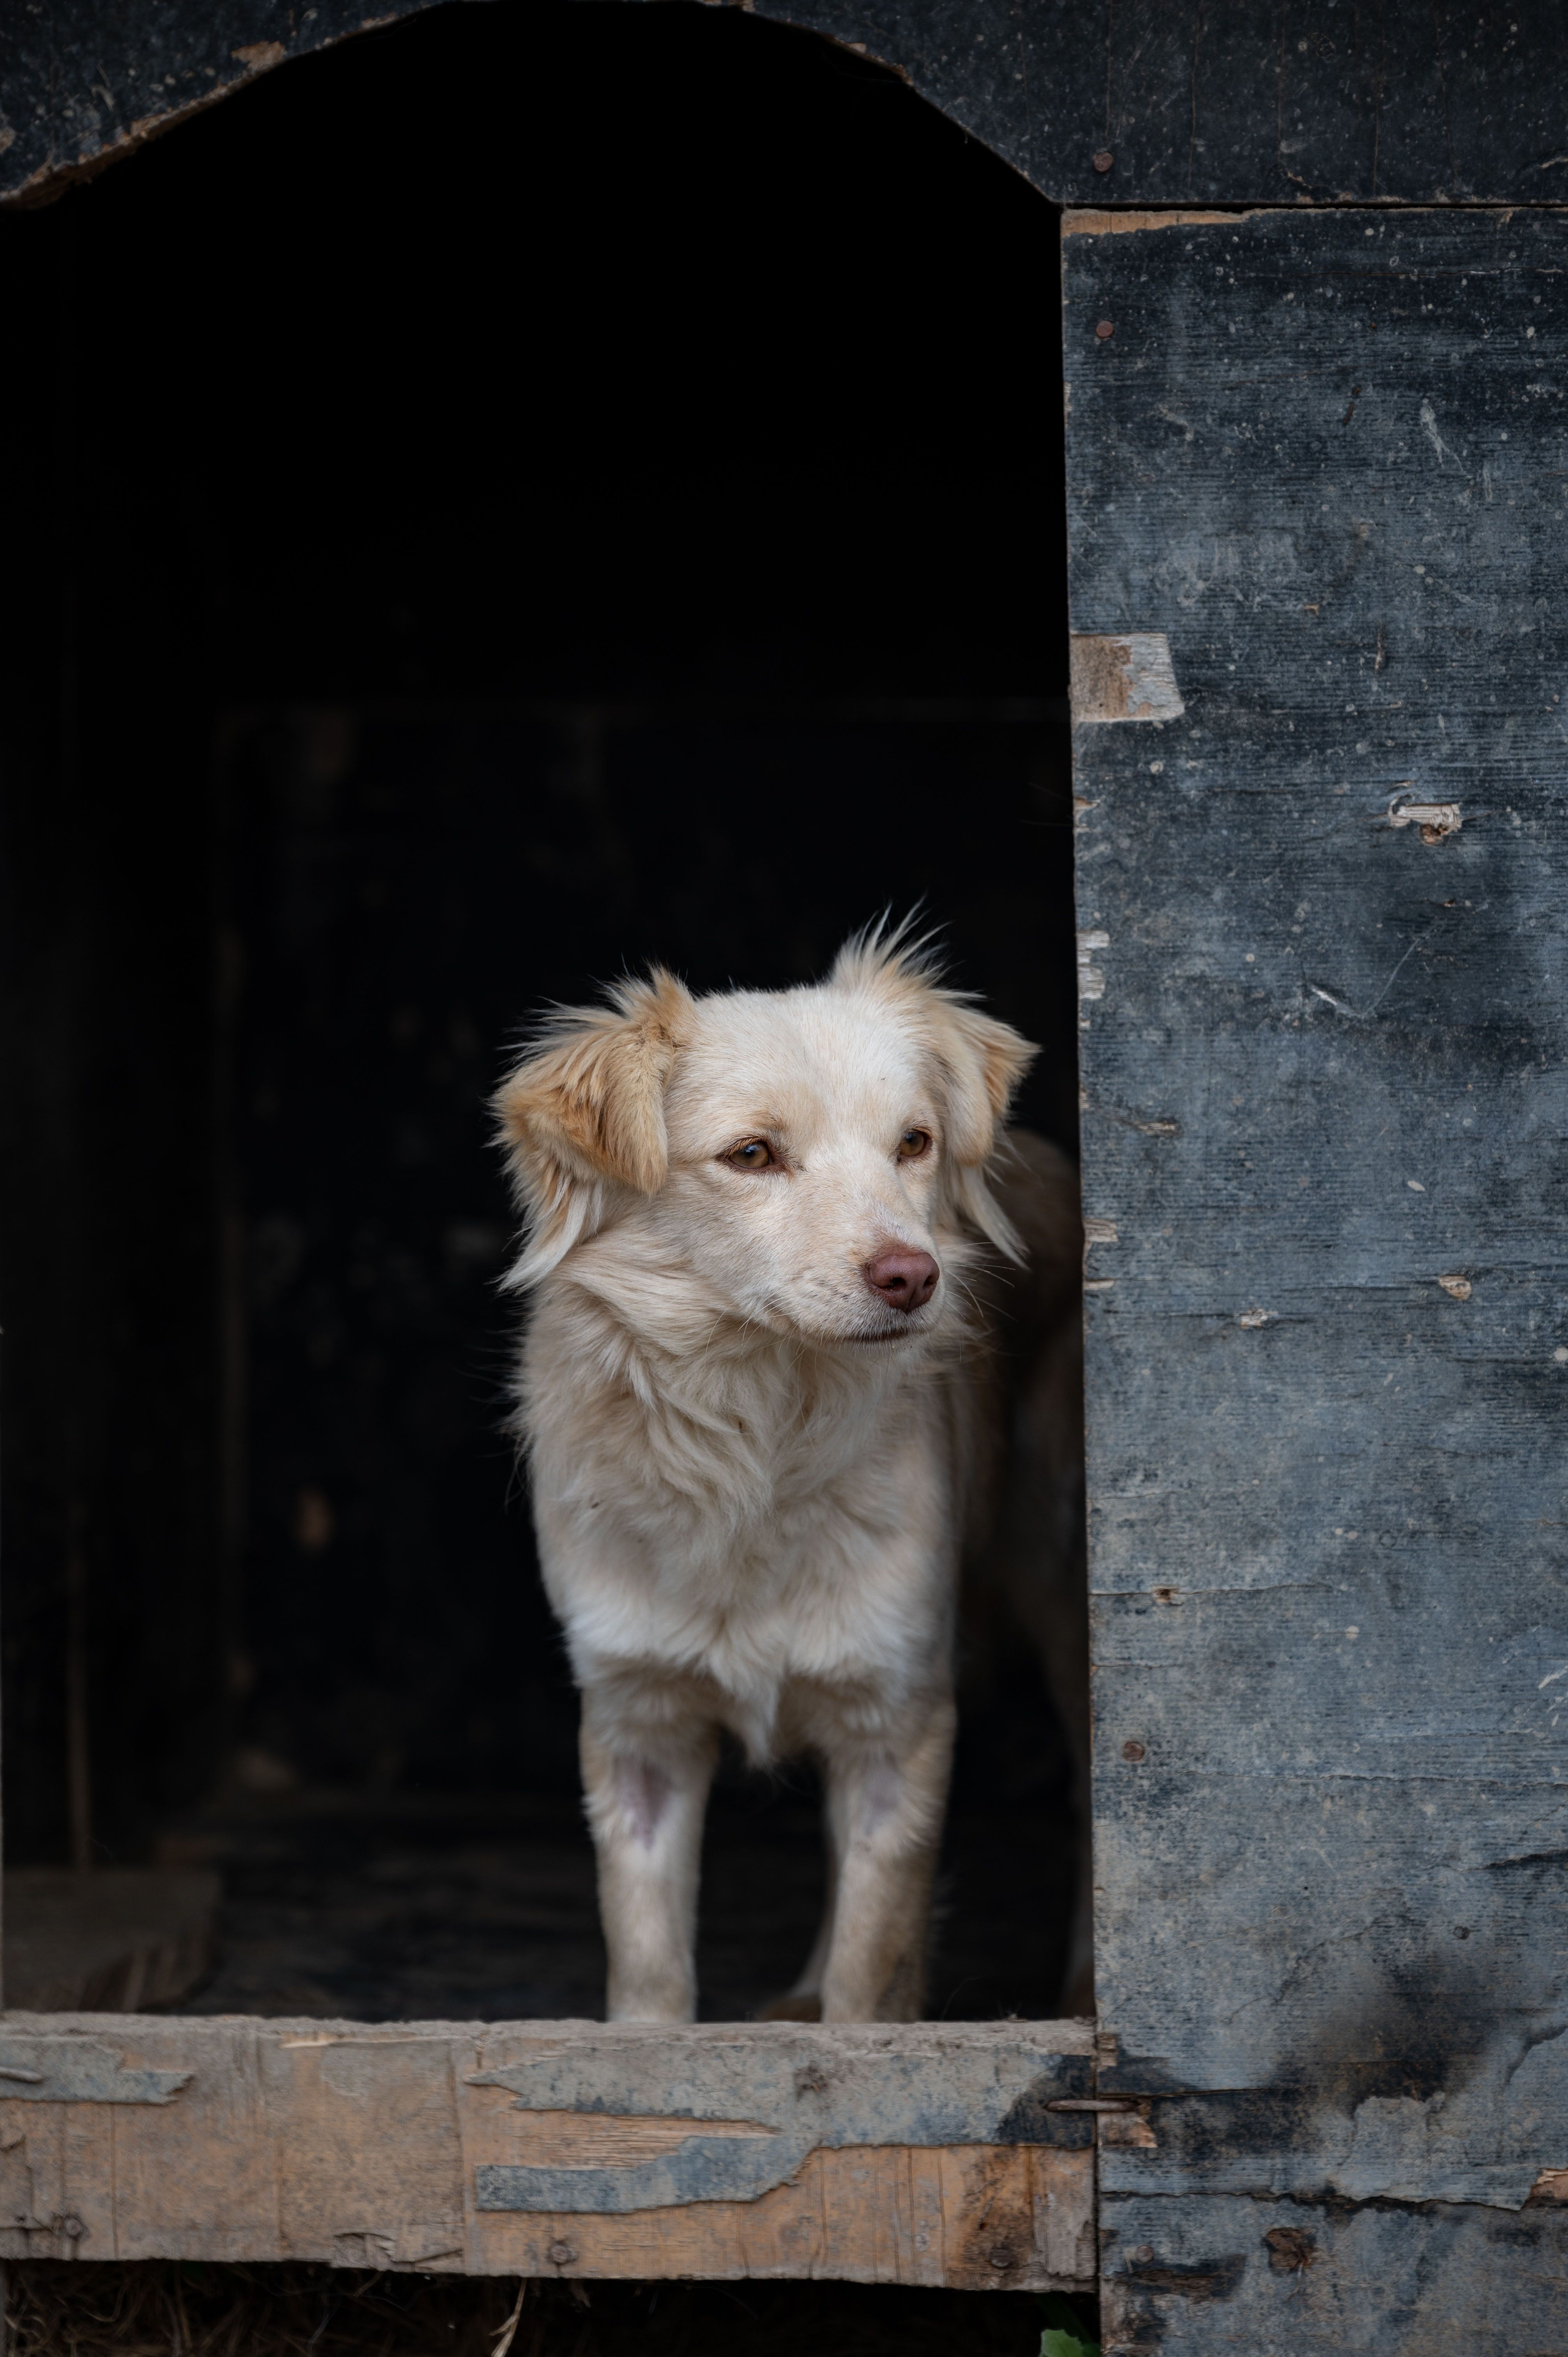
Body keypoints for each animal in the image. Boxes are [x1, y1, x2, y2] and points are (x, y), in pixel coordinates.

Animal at [494, 925, 1086, 2023]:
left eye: (913, 1144)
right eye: (752, 1156)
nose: (910, 1277)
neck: (758, 1426)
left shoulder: (898, 1720)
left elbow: (872, 1962)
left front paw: (849, 2025)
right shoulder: (636, 1727)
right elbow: (647, 1960)